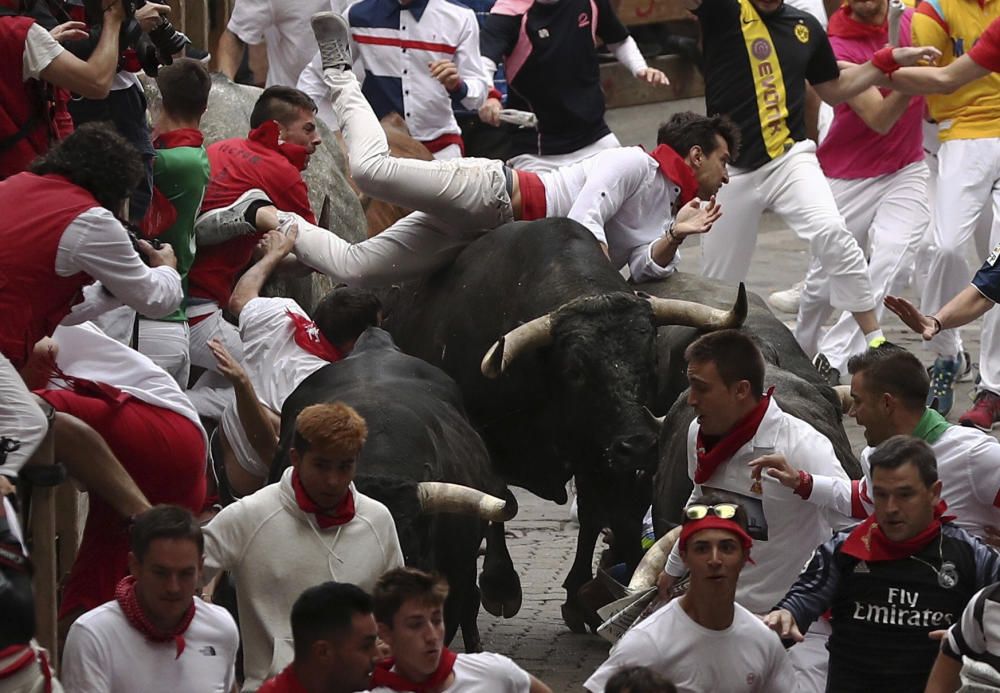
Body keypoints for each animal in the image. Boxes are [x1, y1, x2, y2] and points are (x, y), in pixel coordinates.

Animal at [382, 218, 752, 632]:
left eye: (651, 360)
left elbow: (598, 514)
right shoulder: (485, 437)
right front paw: (500, 583)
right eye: (575, 369)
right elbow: (499, 498)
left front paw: (586, 594)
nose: (639, 445)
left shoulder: (601, 453)